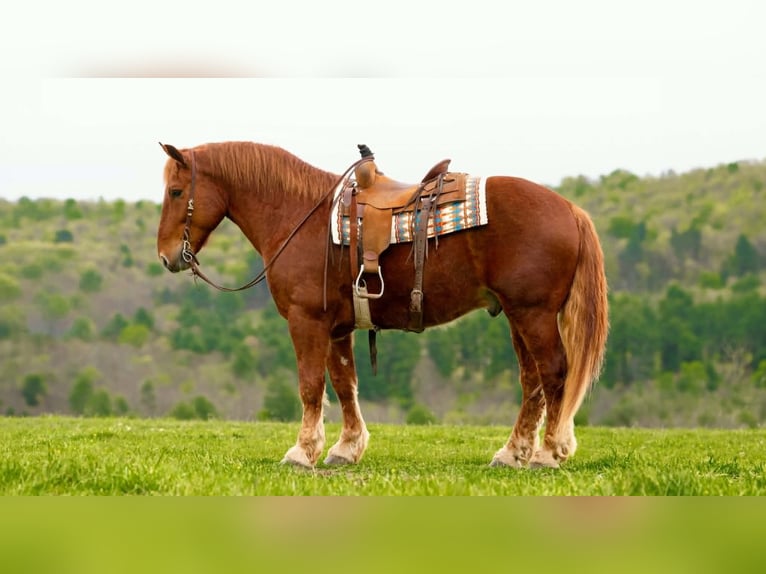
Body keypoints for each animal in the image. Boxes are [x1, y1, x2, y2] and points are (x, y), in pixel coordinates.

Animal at [156, 141, 609, 469]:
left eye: (176, 191)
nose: (166, 256)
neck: (300, 216)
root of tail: (570, 209)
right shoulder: (337, 328)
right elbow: (344, 384)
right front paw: (346, 448)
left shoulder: (306, 321)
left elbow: (310, 386)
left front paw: (303, 452)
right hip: (517, 316)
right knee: (532, 383)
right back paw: (513, 453)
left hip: (533, 314)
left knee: (554, 374)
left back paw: (548, 453)